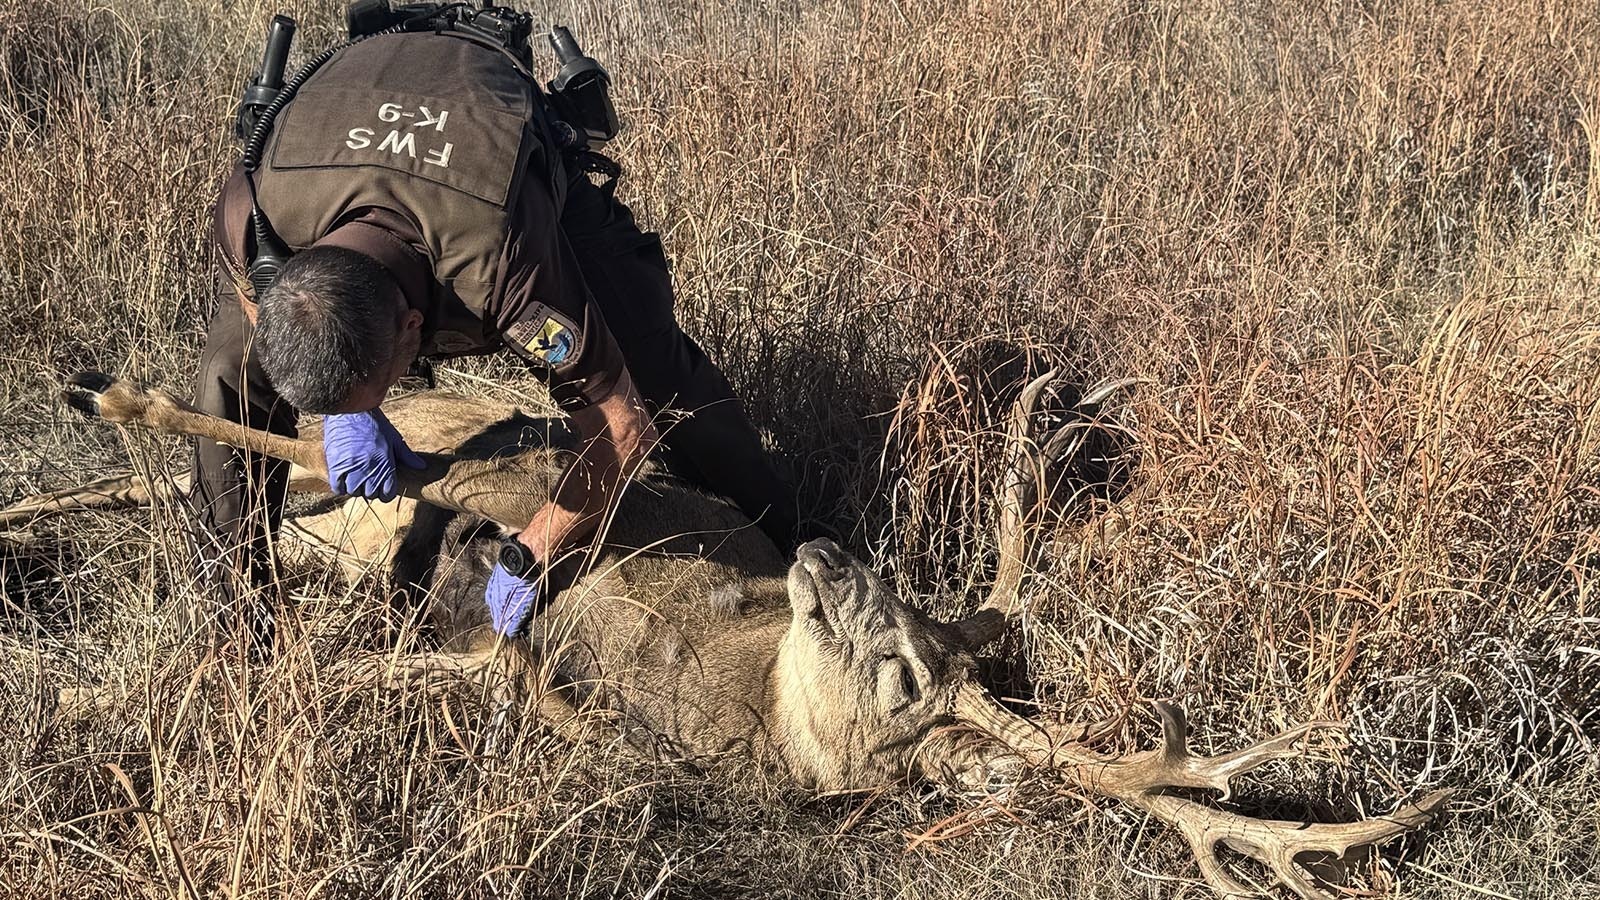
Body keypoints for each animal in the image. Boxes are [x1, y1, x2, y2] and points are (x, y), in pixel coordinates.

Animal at [2, 368, 1453, 900]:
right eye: (908, 619)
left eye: (905, 674)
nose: (822, 550)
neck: (750, 687)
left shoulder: (539, 678)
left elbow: (443, 665)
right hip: (428, 432)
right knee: (251, 453)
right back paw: (90, 422)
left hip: (363, 505)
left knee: (246, 490)